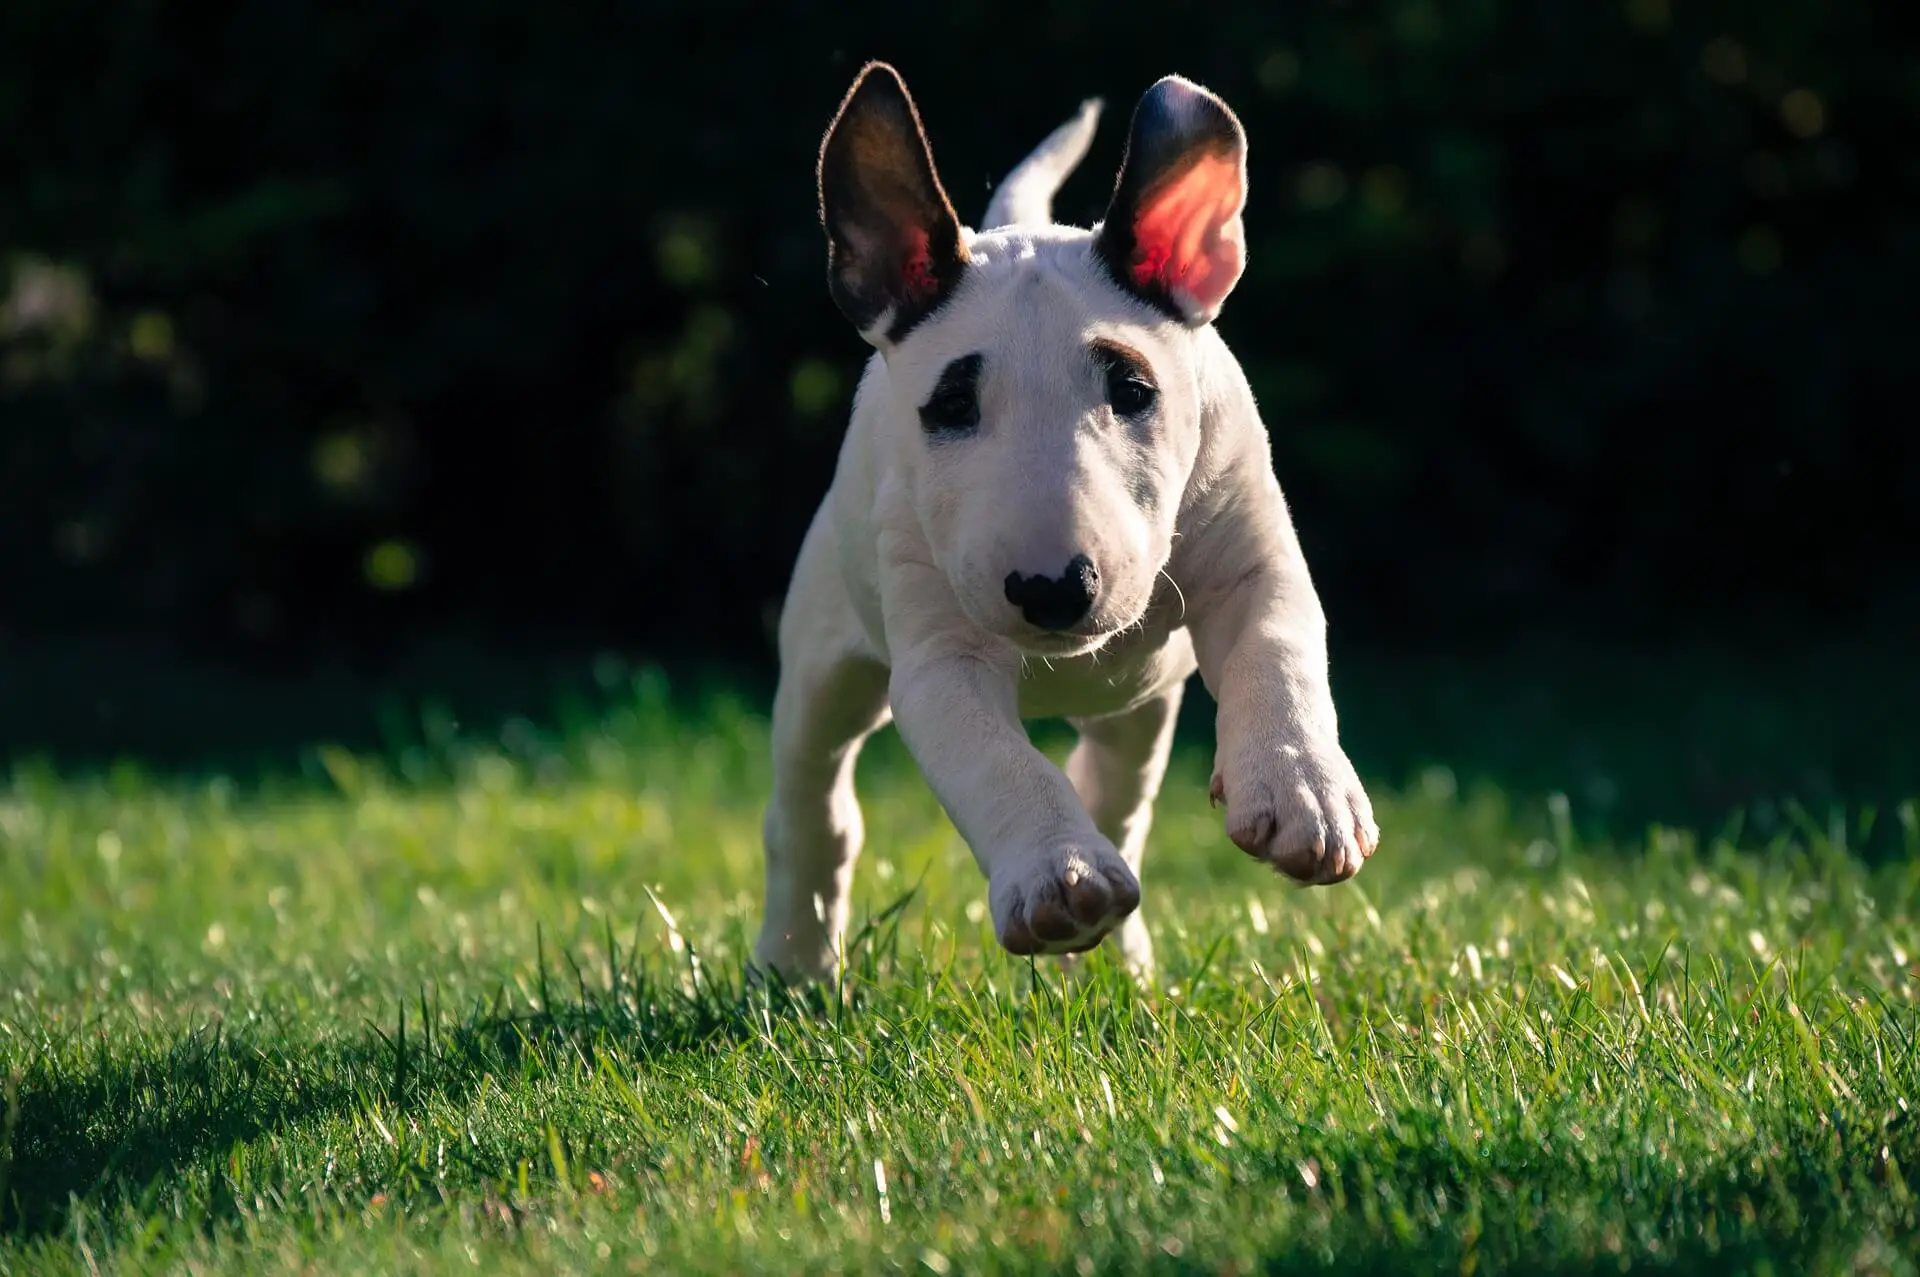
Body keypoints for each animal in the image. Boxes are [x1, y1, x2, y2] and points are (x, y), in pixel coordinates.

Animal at [752, 64, 1382, 979]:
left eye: (1133, 389)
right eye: (952, 406)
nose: (1053, 589)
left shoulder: (1253, 556)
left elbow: (1278, 651)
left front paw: (1305, 791)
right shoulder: (941, 654)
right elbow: (998, 760)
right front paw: (1059, 876)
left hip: (1139, 708)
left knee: (1116, 787)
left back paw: (1120, 960)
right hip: (821, 655)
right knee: (812, 806)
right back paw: (792, 959)